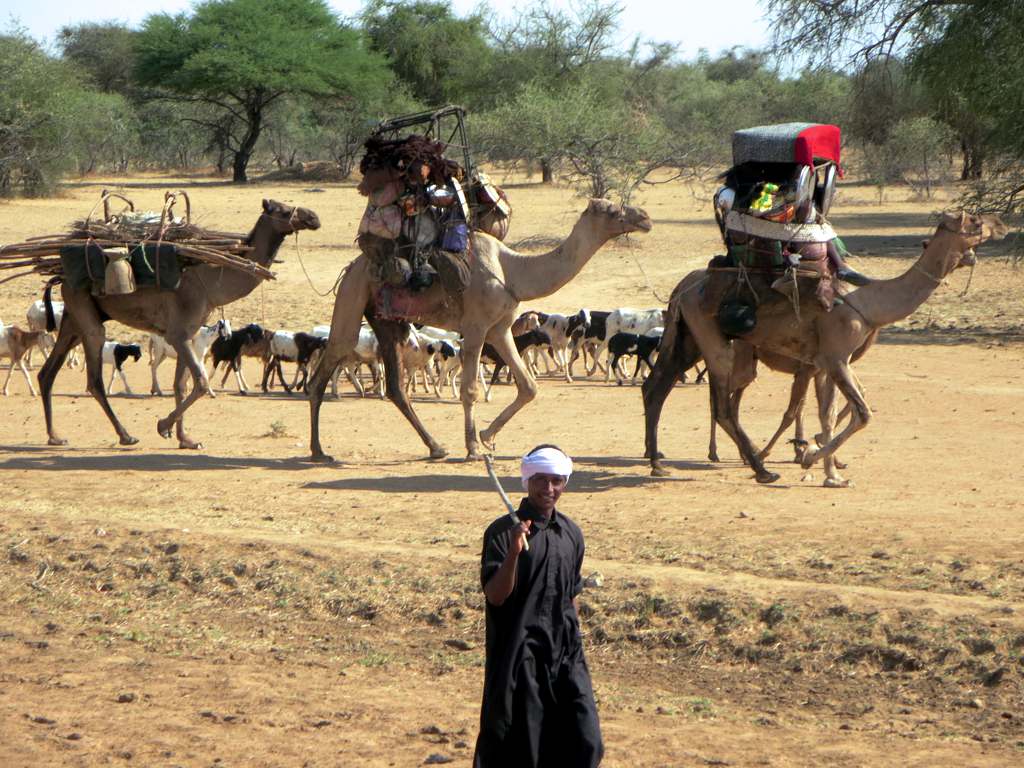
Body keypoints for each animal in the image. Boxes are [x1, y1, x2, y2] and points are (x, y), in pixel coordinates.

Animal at [38, 198, 319, 450]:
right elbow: (201, 382)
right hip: (84, 308)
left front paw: (186, 439)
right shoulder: (178, 334)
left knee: (48, 372)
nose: (313, 217)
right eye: (282, 210)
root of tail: (60, 277)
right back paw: (126, 436)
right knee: (93, 376)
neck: (211, 283)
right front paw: (163, 426)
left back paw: (55, 436)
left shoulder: (188, 333)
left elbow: (181, 385)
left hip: (75, 317)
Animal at [307, 198, 651, 462]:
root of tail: (350, 268)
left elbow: (528, 386)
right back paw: (319, 451)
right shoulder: (475, 326)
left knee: (395, 387)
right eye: (611, 210)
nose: (644, 218)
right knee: (327, 366)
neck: (513, 273)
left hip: (386, 320)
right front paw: (474, 447)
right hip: (352, 297)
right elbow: (469, 389)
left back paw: (436, 447)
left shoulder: (500, 327)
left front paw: (487, 436)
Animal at [643, 208, 1003, 487]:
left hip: (688, 337)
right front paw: (811, 458)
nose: (1000, 223)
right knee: (720, 406)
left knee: (658, 387)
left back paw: (658, 463)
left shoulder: (826, 363)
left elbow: (828, 414)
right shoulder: (836, 357)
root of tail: (684, 289)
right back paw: (761, 469)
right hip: (715, 341)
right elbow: (862, 413)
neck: (867, 304)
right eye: (974, 220)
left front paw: (832, 473)